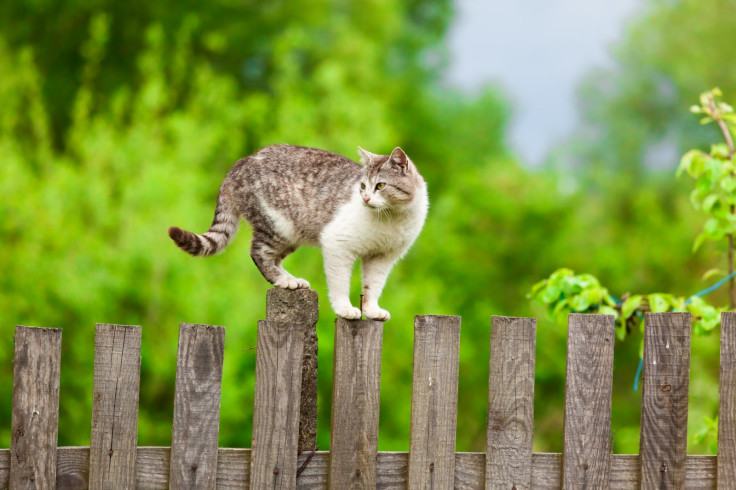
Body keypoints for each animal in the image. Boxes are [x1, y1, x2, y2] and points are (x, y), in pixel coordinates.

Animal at [169, 145, 428, 322]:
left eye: (380, 186)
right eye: (363, 186)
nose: (365, 198)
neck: (392, 218)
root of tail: (240, 163)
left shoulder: (382, 258)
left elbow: (372, 287)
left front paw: (372, 310)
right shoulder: (337, 244)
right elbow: (340, 284)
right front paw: (345, 309)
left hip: (290, 235)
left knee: (272, 258)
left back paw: (293, 280)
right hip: (279, 226)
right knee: (259, 254)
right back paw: (284, 281)